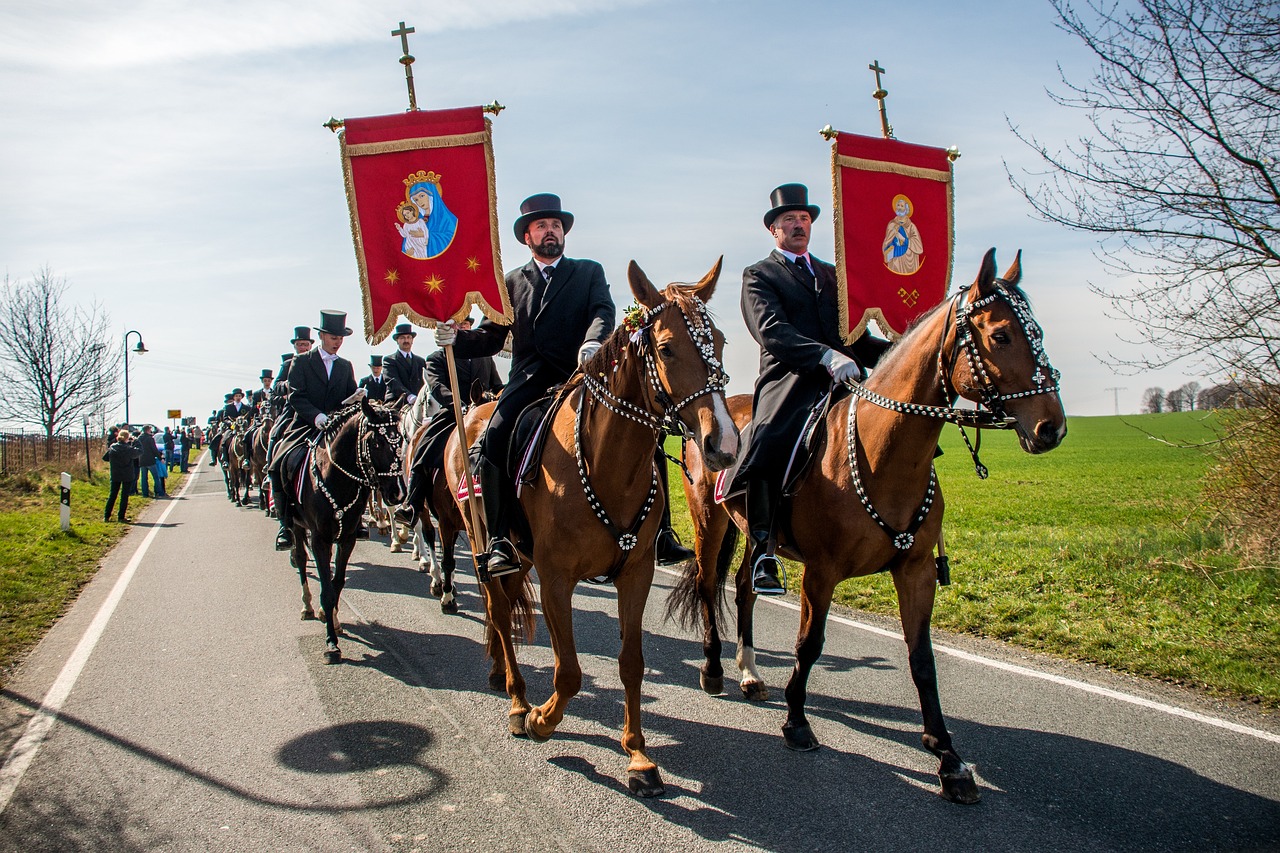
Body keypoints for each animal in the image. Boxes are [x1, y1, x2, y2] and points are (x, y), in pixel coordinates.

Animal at [290, 394, 404, 660]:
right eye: (376, 443)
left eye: (402, 438)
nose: (397, 492)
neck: (337, 478)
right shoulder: (319, 539)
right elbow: (326, 589)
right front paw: (331, 644)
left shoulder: (347, 537)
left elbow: (336, 582)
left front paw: (332, 618)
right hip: (296, 525)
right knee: (300, 558)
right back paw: (307, 604)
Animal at [448, 258, 742, 799]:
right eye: (666, 347)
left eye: (720, 339)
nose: (725, 445)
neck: (605, 465)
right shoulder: (556, 578)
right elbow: (568, 672)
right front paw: (542, 720)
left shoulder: (636, 575)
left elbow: (631, 664)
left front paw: (638, 756)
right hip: (485, 547)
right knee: (498, 615)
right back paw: (517, 703)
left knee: (506, 619)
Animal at [665, 247, 1064, 804]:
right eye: (1002, 336)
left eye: (1038, 332)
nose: (1052, 427)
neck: (882, 453)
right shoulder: (822, 573)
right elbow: (809, 644)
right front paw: (796, 722)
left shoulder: (916, 571)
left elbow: (922, 660)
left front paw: (948, 756)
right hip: (710, 521)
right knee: (708, 585)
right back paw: (713, 671)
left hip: (755, 535)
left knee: (744, 586)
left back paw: (749, 674)